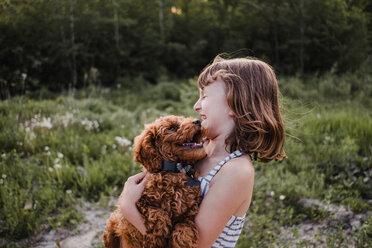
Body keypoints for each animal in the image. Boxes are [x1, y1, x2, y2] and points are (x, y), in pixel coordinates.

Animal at [103, 116, 205, 248]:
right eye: (172, 128)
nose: (198, 121)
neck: (176, 169)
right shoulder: (136, 203)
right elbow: (156, 212)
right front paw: (159, 230)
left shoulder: (190, 210)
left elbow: (185, 224)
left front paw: (184, 239)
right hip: (111, 226)